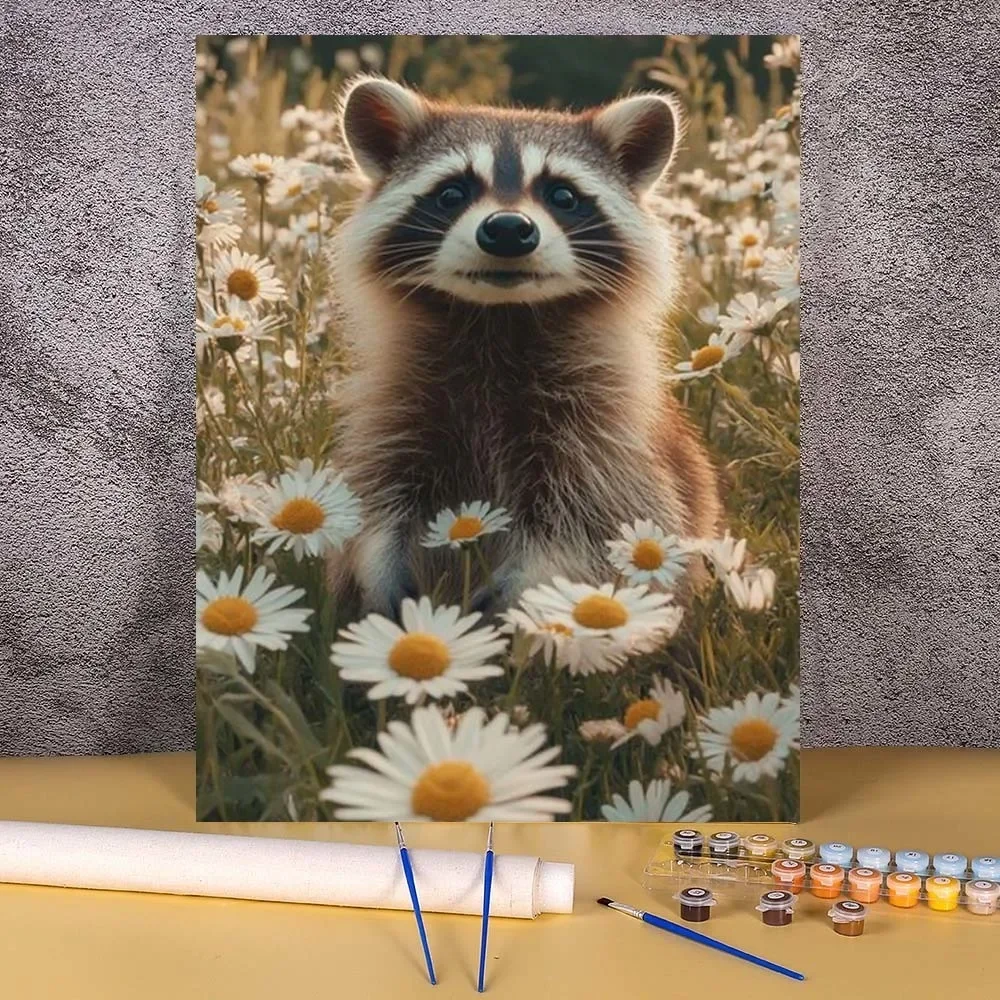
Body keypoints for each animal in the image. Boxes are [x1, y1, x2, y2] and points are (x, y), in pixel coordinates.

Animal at [328, 76, 720, 616]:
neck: (500, 318)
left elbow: (599, 527)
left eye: (562, 195)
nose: (509, 229)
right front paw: (374, 568)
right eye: (452, 192)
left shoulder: (607, 436)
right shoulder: (392, 414)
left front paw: (530, 590)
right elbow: (373, 502)